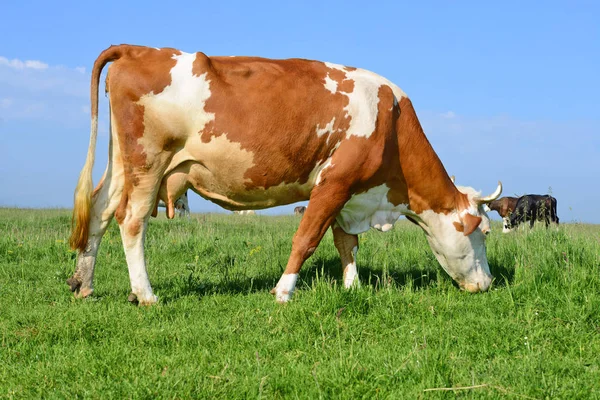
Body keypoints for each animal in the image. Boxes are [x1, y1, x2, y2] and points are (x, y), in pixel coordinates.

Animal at [68, 44, 502, 306]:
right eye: (482, 232)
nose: (489, 283)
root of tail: (138, 49)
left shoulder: (349, 192)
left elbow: (347, 244)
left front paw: (353, 287)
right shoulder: (335, 183)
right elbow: (307, 239)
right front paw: (283, 292)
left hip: (123, 164)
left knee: (100, 211)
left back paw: (83, 284)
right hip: (148, 161)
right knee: (131, 220)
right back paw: (146, 294)